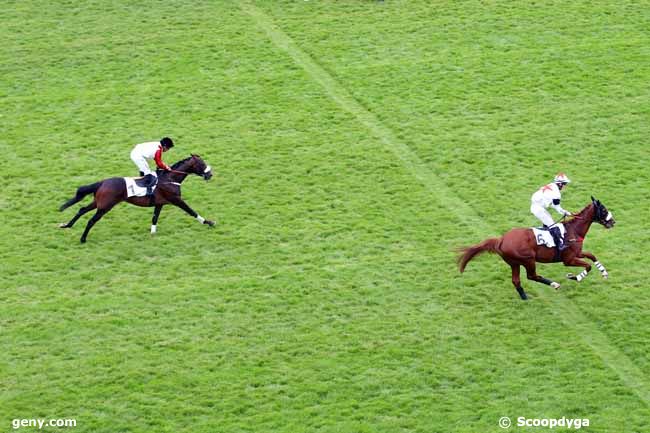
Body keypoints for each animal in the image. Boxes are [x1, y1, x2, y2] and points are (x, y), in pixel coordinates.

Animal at [59, 154, 215, 243]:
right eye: (201, 164)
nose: (210, 175)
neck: (170, 179)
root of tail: (102, 182)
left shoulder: (160, 203)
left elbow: (154, 218)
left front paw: (152, 234)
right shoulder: (176, 200)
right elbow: (191, 211)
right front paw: (209, 222)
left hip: (98, 202)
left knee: (82, 209)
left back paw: (67, 225)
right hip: (105, 206)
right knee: (91, 220)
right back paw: (83, 239)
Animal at [456, 197, 612, 298]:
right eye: (604, 210)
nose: (613, 222)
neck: (573, 230)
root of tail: (501, 239)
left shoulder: (577, 253)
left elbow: (592, 256)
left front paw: (604, 273)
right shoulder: (568, 260)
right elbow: (588, 266)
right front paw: (574, 277)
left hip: (514, 263)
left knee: (516, 280)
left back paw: (524, 296)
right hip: (528, 260)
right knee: (532, 276)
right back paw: (554, 284)